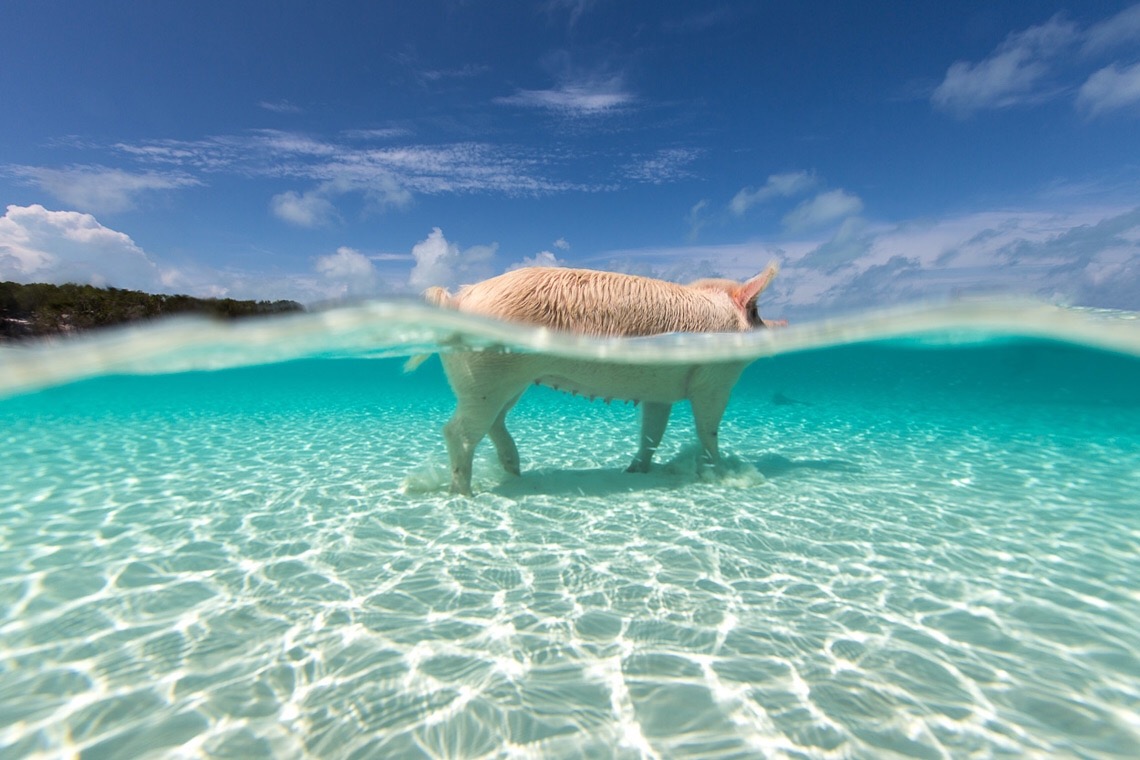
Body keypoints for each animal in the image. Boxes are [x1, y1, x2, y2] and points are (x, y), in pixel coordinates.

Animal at [424, 264, 779, 496]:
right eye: (757, 312)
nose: (781, 326)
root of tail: (459, 298)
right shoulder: (715, 380)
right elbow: (708, 429)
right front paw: (725, 471)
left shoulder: (659, 393)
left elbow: (652, 433)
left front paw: (635, 471)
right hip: (486, 376)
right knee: (458, 431)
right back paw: (463, 494)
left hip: (507, 382)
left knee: (495, 421)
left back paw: (515, 470)